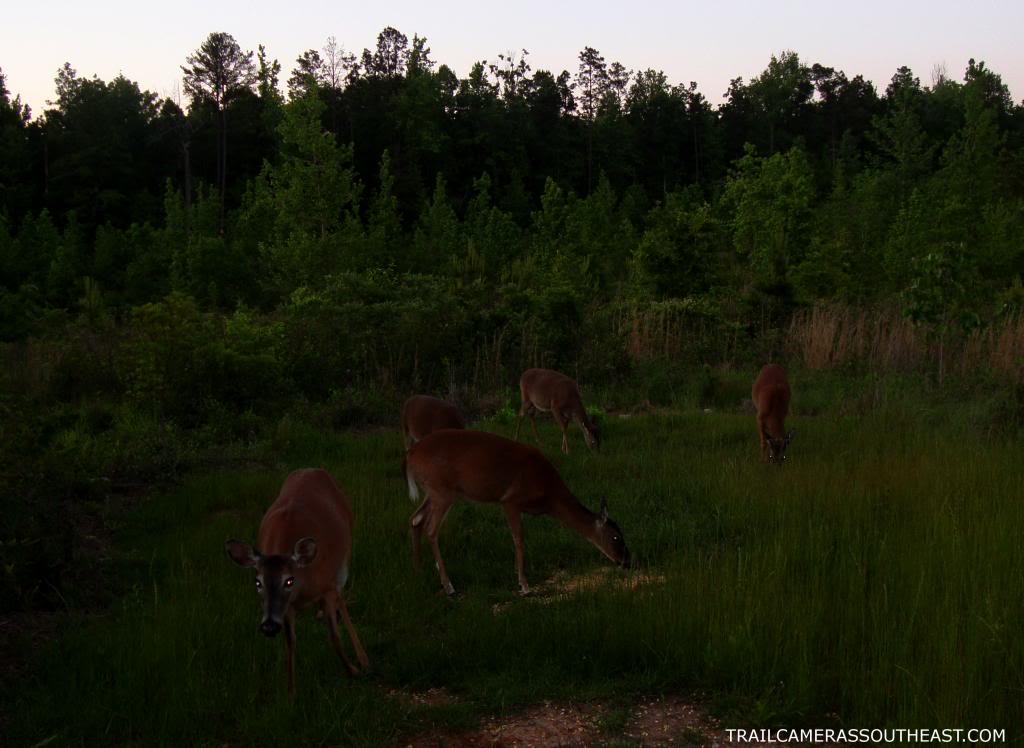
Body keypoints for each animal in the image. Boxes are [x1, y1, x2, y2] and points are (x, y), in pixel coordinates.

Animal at [226, 469, 370, 696]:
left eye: (289, 580)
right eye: (257, 582)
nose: (268, 626)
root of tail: (312, 469)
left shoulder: (327, 587)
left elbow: (334, 635)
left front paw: (353, 670)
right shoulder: (287, 607)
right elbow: (290, 642)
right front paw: (291, 692)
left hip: (345, 554)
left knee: (342, 598)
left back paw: (363, 657)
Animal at [403, 426, 626, 594]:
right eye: (616, 537)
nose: (627, 561)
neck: (548, 495)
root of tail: (411, 454)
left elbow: (517, 537)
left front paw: (517, 575)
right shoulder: (510, 500)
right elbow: (518, 538)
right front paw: (524, 585)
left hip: (432, 491)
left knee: (415, 519)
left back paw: (418, 571)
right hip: (442, 490)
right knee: (431, 529)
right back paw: (448, 585)